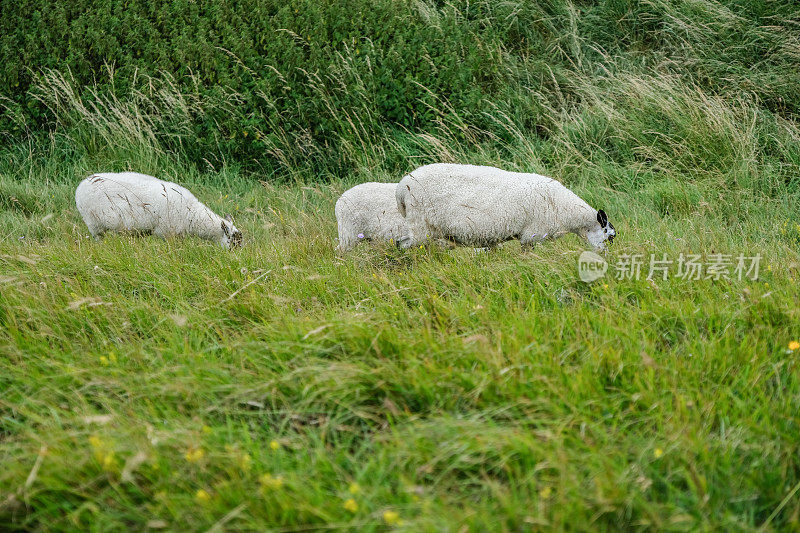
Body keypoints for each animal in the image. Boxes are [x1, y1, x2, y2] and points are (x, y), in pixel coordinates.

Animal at [76, 171, 242, 248]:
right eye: (233, 243)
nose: (235, 259)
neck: (193, 215)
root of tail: (82, 184)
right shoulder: (168, 232)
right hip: (94, 223)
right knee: (98, 237)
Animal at [396, 162, 616, 251]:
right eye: (610, 236)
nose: (605, 256)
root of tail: (401, 188)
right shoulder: (532, 235)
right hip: (421, 225)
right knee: (402, 245)